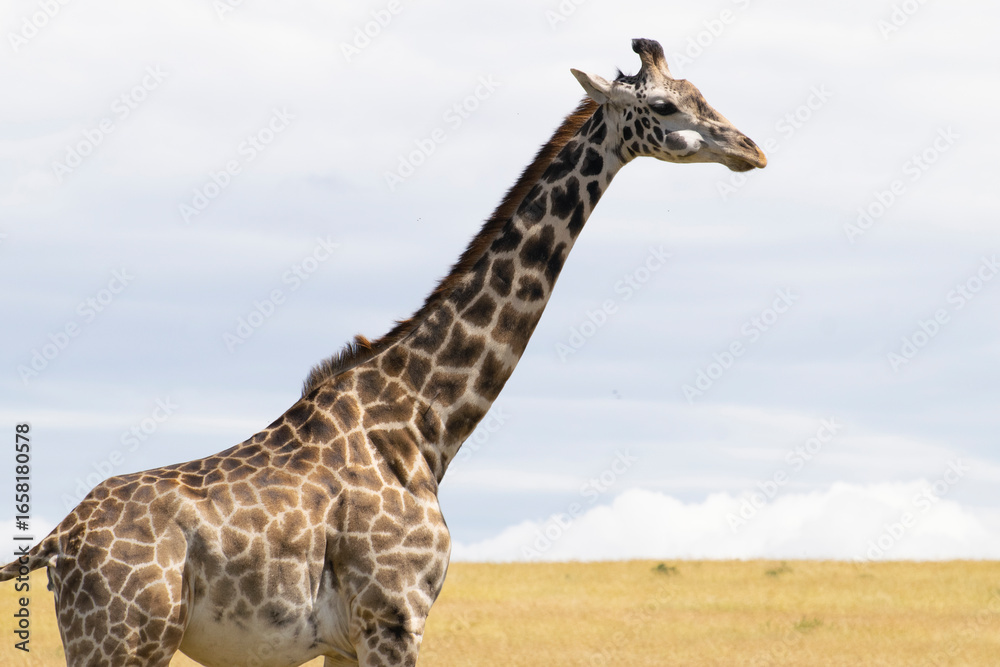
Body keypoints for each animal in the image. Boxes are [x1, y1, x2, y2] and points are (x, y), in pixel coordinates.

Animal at [1, 38, 765, 667]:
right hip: (125, 638)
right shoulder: (394, 616)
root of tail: (58, 539)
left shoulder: (348, 639)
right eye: (664, 105)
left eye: (700, 91)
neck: (426, 419)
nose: (751, 149)